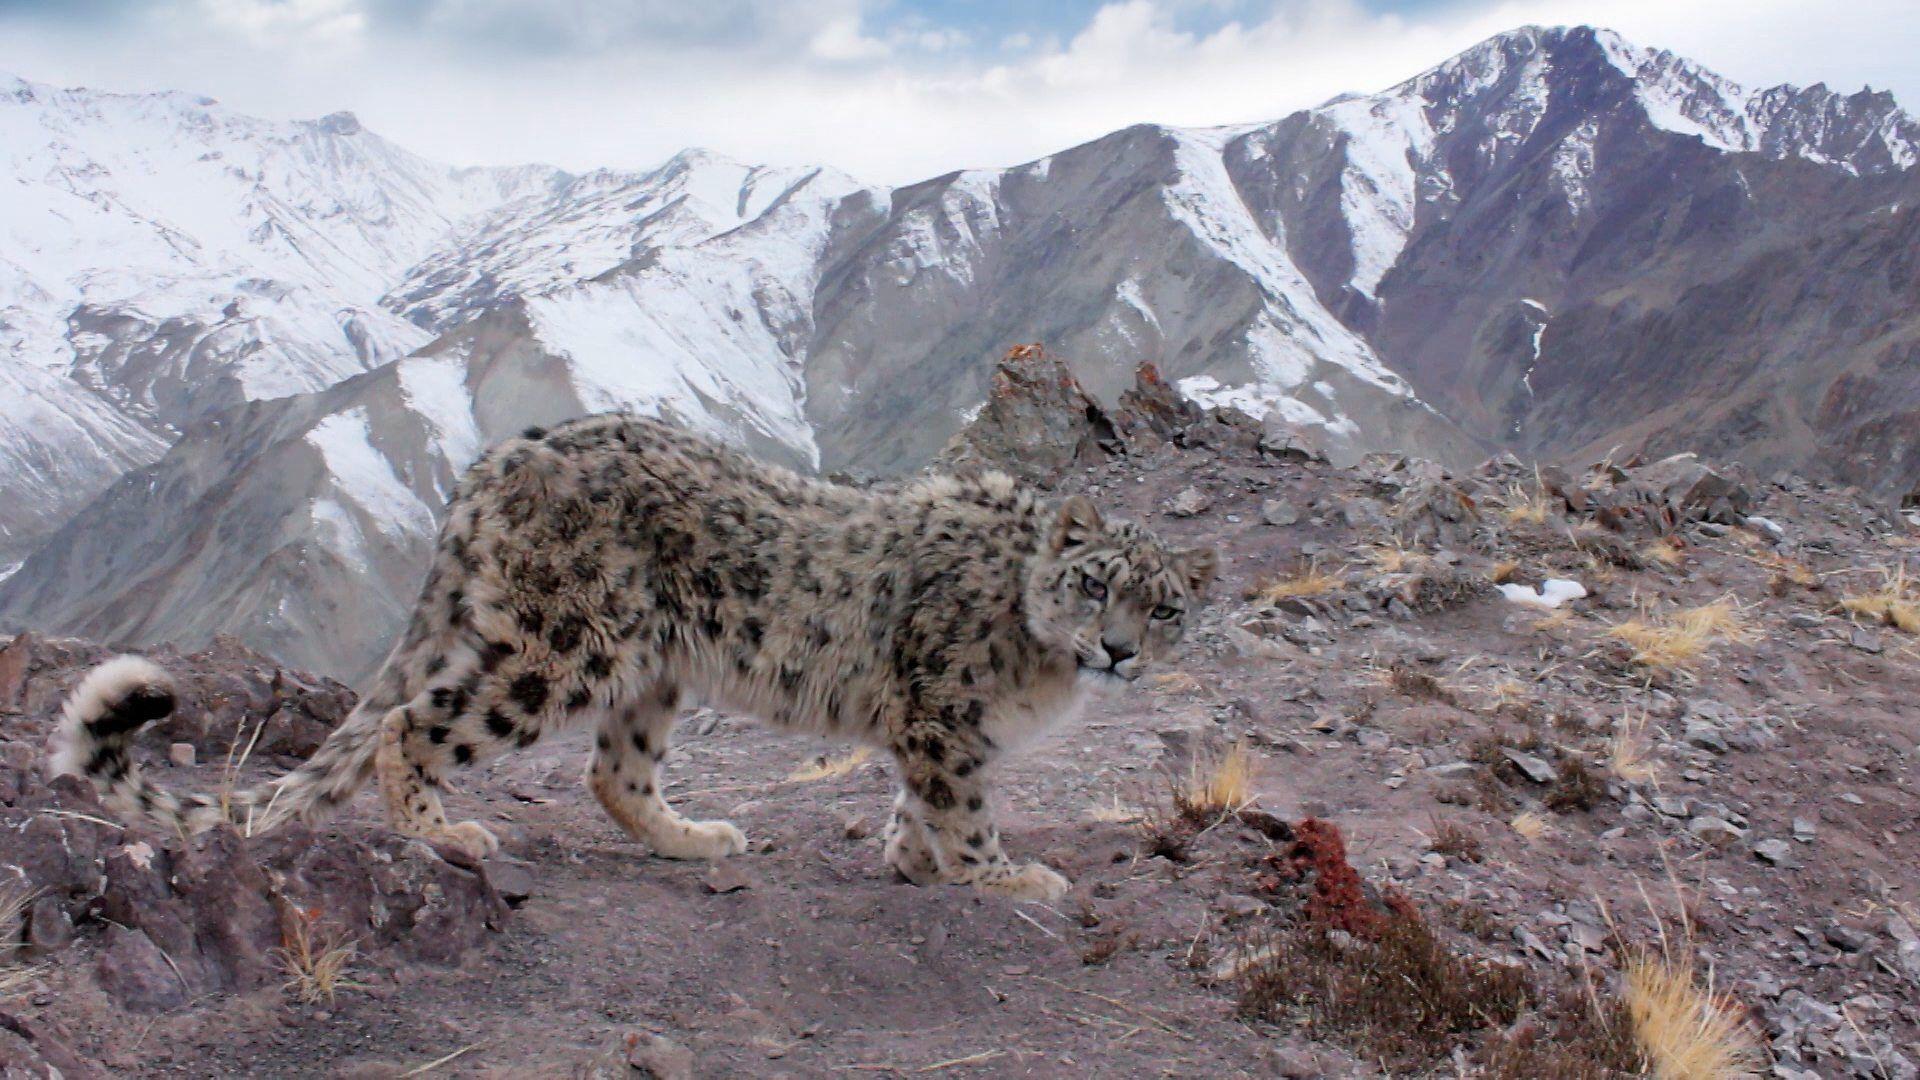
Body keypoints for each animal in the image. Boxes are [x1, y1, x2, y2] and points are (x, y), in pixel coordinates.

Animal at [51, 414, 1217, 901]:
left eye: (1163, 606)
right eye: (1094, 585)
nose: (1117, 653)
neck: (1041, 670)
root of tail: (496, 459)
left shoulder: (937, 727)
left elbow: (915, 802)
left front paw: (912, 859)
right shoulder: (940, 714)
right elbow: (962, 807)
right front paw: (1006, 875)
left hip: (650, 669)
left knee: (614, 772)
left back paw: (696, 839)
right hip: (566, 650)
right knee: (412, 721)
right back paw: (444, 830)